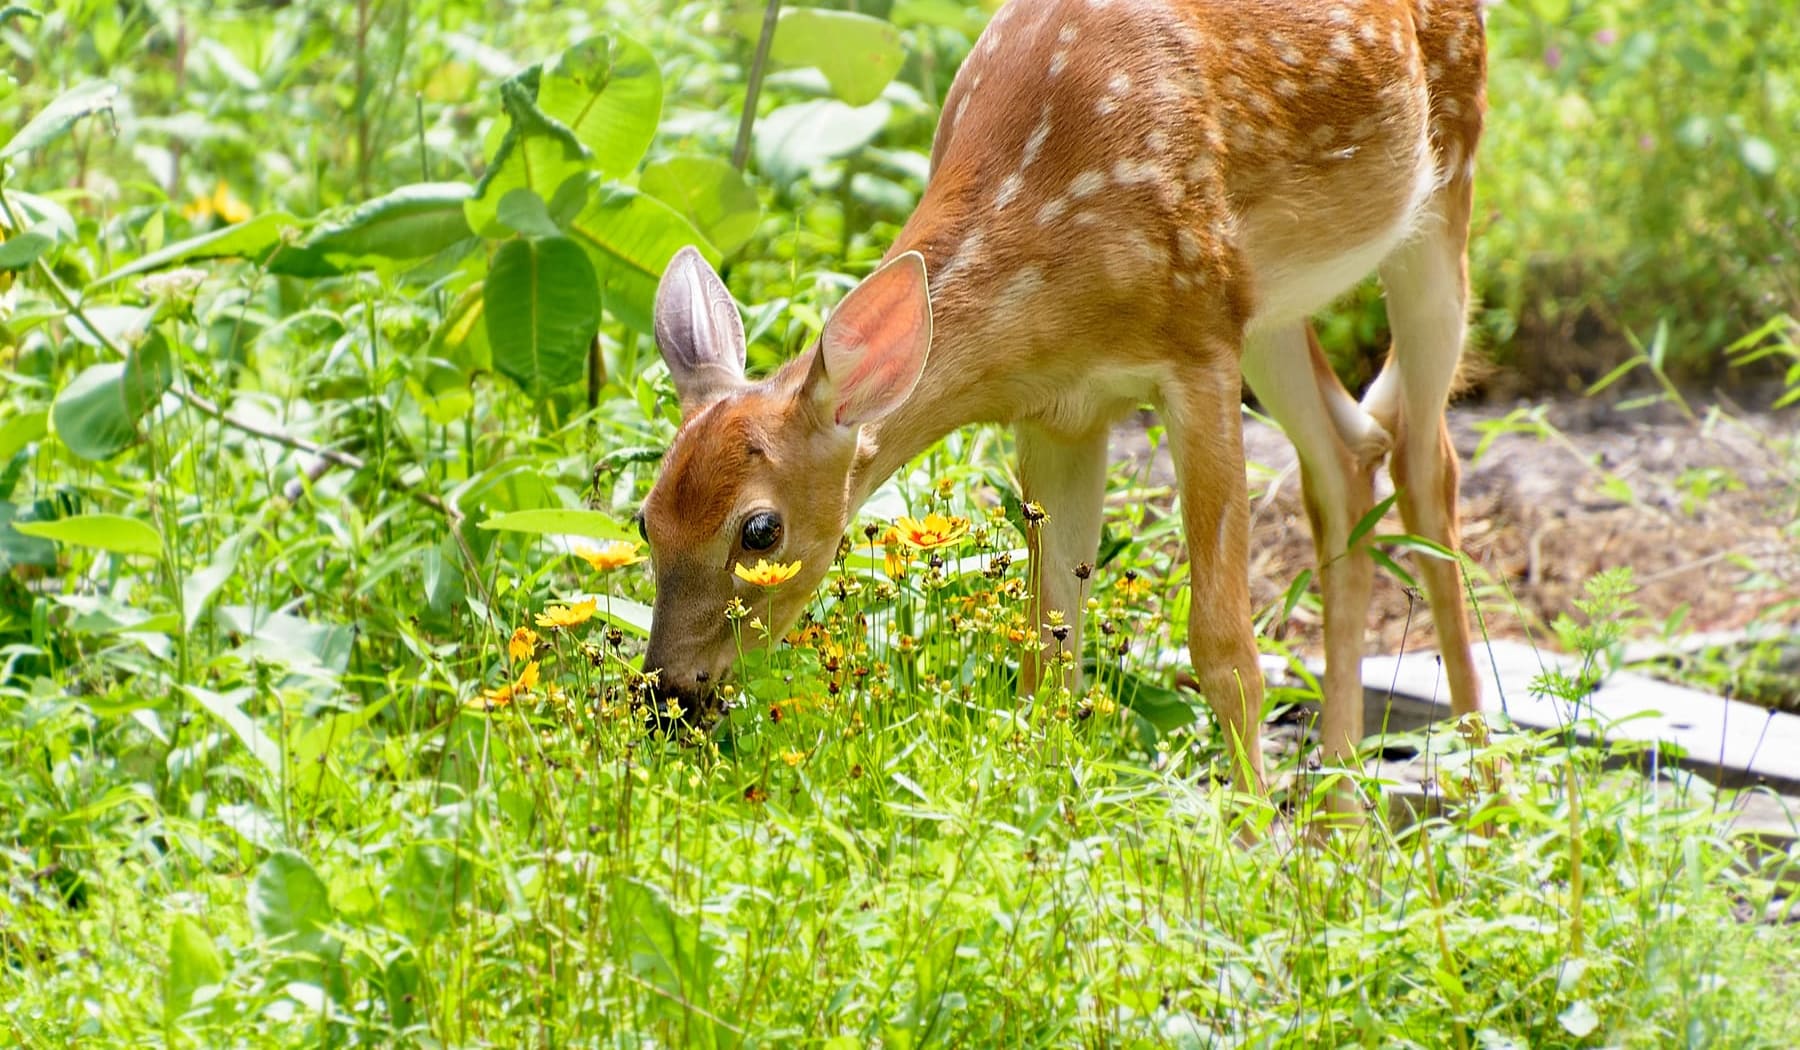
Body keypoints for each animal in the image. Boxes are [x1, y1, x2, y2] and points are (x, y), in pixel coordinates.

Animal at [636, 0, 1488, 810]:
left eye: (760, 529)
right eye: (646, 519)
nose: (665, 701)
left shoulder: (1199, 347)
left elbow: (1225, 650)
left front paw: (1247, 842)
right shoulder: (1059, 413)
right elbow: (1050, 652)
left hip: (1444, 185)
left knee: (1429, 463)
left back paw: (1483, 786)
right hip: (1273, 307)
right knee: (1348, 460)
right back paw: (1342, 816)